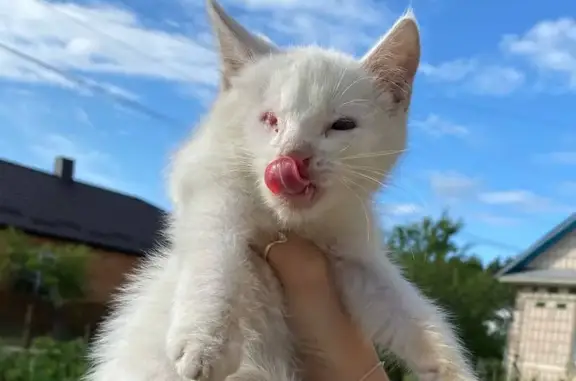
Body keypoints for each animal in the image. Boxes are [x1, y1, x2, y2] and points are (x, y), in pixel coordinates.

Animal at [84, 0, 476, 380]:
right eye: (270, 119)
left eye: (341, 125)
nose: (294, 154)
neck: (289, 223)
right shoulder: (205, 183)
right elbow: (216, 245)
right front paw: (205, 340)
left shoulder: (353, 254)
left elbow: (403, 306)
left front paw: (450, 367)